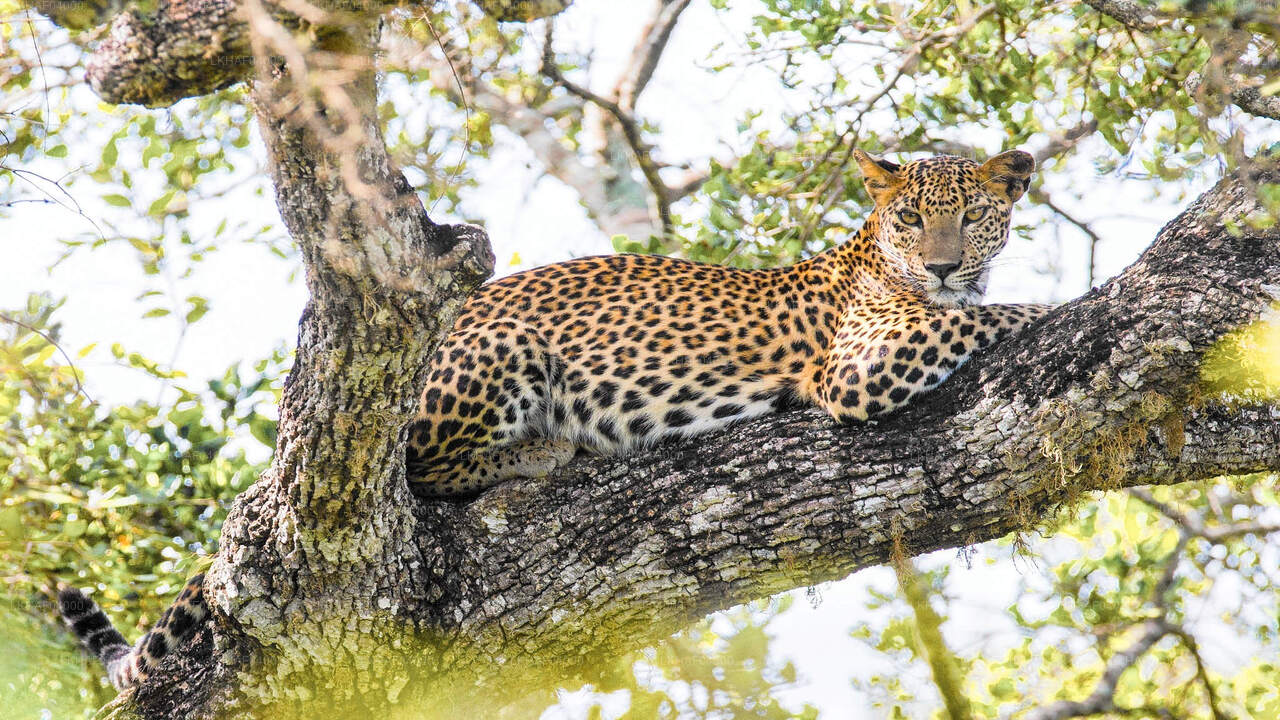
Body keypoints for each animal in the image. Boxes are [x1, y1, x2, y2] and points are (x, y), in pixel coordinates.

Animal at [57, 147, 1049, 691]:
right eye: (910, 217)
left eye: (972, 217)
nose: (945, 264)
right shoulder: (858, 367)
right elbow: (993, 316)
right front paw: (1048, 305)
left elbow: (982, 310)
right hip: (502, 350)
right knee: (423, 467)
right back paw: (546, 454)